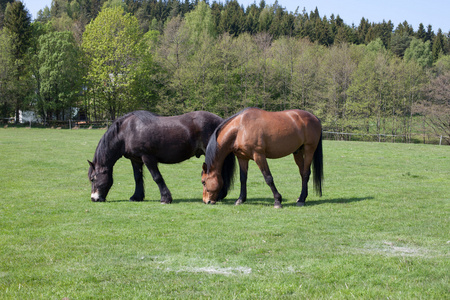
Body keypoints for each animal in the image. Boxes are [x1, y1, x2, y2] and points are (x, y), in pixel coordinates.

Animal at [88, 110, 223, 204]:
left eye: (93, 179)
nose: (94, 199)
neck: (127, 131)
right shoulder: (135, 160)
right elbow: (137, 178)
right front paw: (136, 197)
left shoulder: (148, 158)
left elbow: (157, 177)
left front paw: (165, 198)